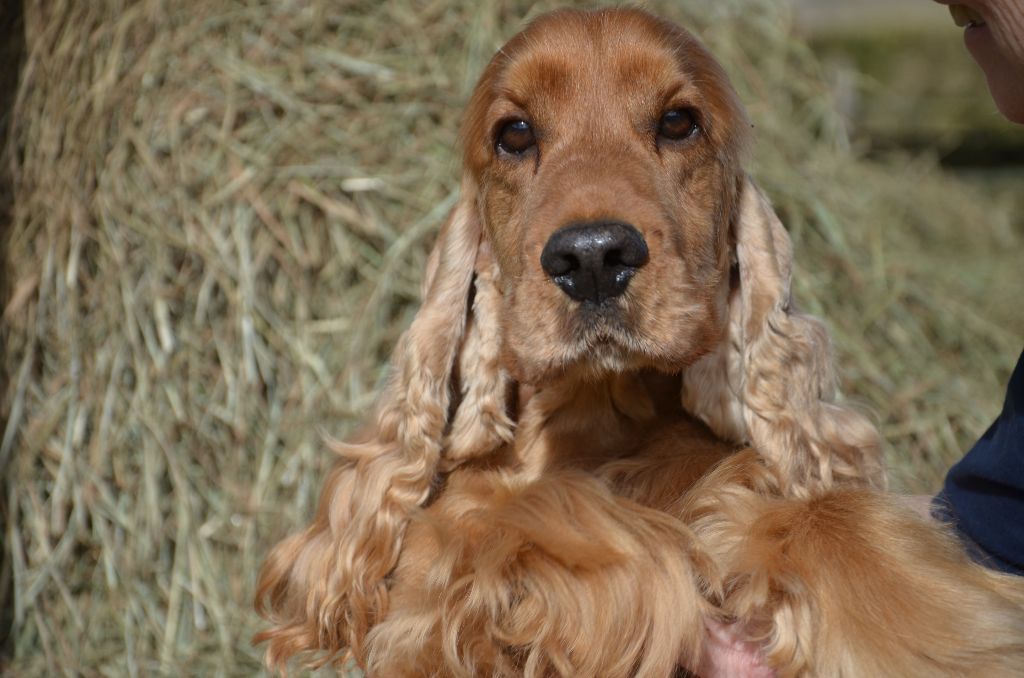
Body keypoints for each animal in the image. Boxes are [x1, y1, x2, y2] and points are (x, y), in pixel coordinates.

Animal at [255, 8, 1024, 676]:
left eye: (679, 122)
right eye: (515, 134)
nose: (594, 257)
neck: (599, 413)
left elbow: (830, 515)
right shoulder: (440, 569)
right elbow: (519, 519)